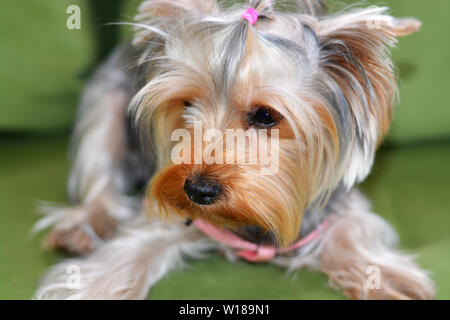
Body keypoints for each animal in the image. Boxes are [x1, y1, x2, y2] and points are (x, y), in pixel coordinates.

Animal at [33, 0, 434, 300]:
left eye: (266, 116)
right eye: (186, 105)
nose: (197, 190)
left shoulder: (338, 203)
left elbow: (355, 229)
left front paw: (389, 276)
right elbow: (131, 246)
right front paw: (89, 286)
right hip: (103, 105)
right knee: (99, 173)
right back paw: (83, 226)